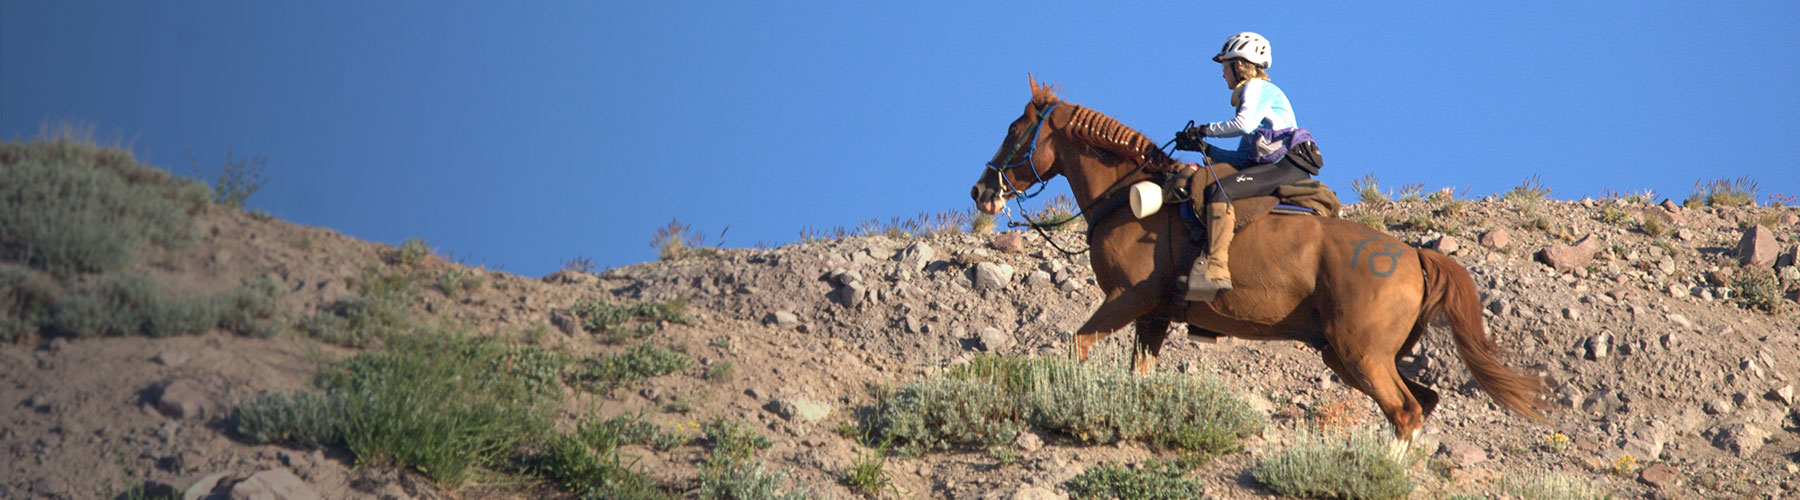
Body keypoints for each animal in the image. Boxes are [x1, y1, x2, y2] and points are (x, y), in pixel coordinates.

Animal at [972, 78, 1548, 440]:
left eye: (1015, 130)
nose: (982, 190)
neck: (1129, 197)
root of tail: (1414, 257)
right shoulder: (1154, 316)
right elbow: (1138, 374)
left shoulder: (1127, 299)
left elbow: (1079, 344)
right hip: (1351, 356)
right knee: (1421, 403)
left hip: (1361, 354)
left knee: (1405, 412)